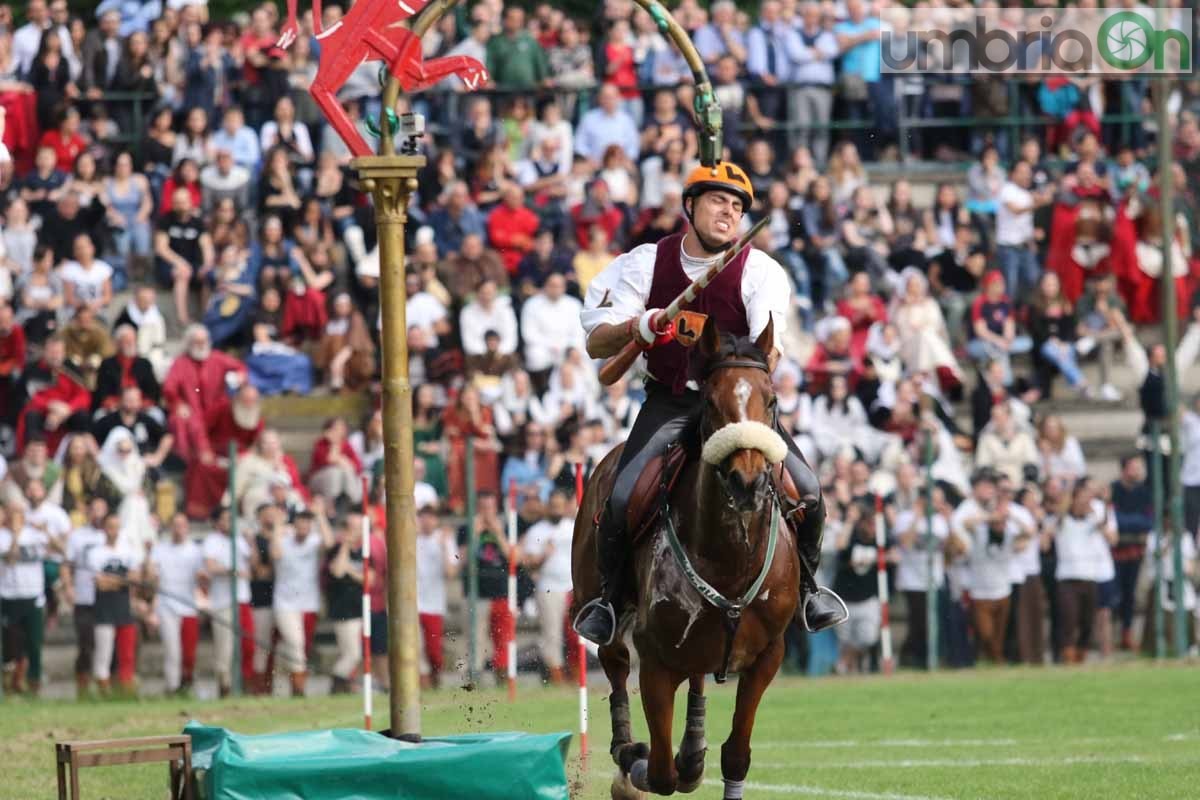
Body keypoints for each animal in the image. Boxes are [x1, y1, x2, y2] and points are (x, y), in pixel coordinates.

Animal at [568, 316, 796, 800]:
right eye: (711, 401)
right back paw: (628, 751)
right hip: (597, 600)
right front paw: (632, 764)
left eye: (771, 400)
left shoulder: (768, 655)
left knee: (697, 678)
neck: (730, 558)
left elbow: (736, 755)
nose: (748, 482)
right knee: (615, 661)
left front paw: (697, 756)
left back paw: (692, 747)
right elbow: (658, 771)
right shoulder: (655, 659)